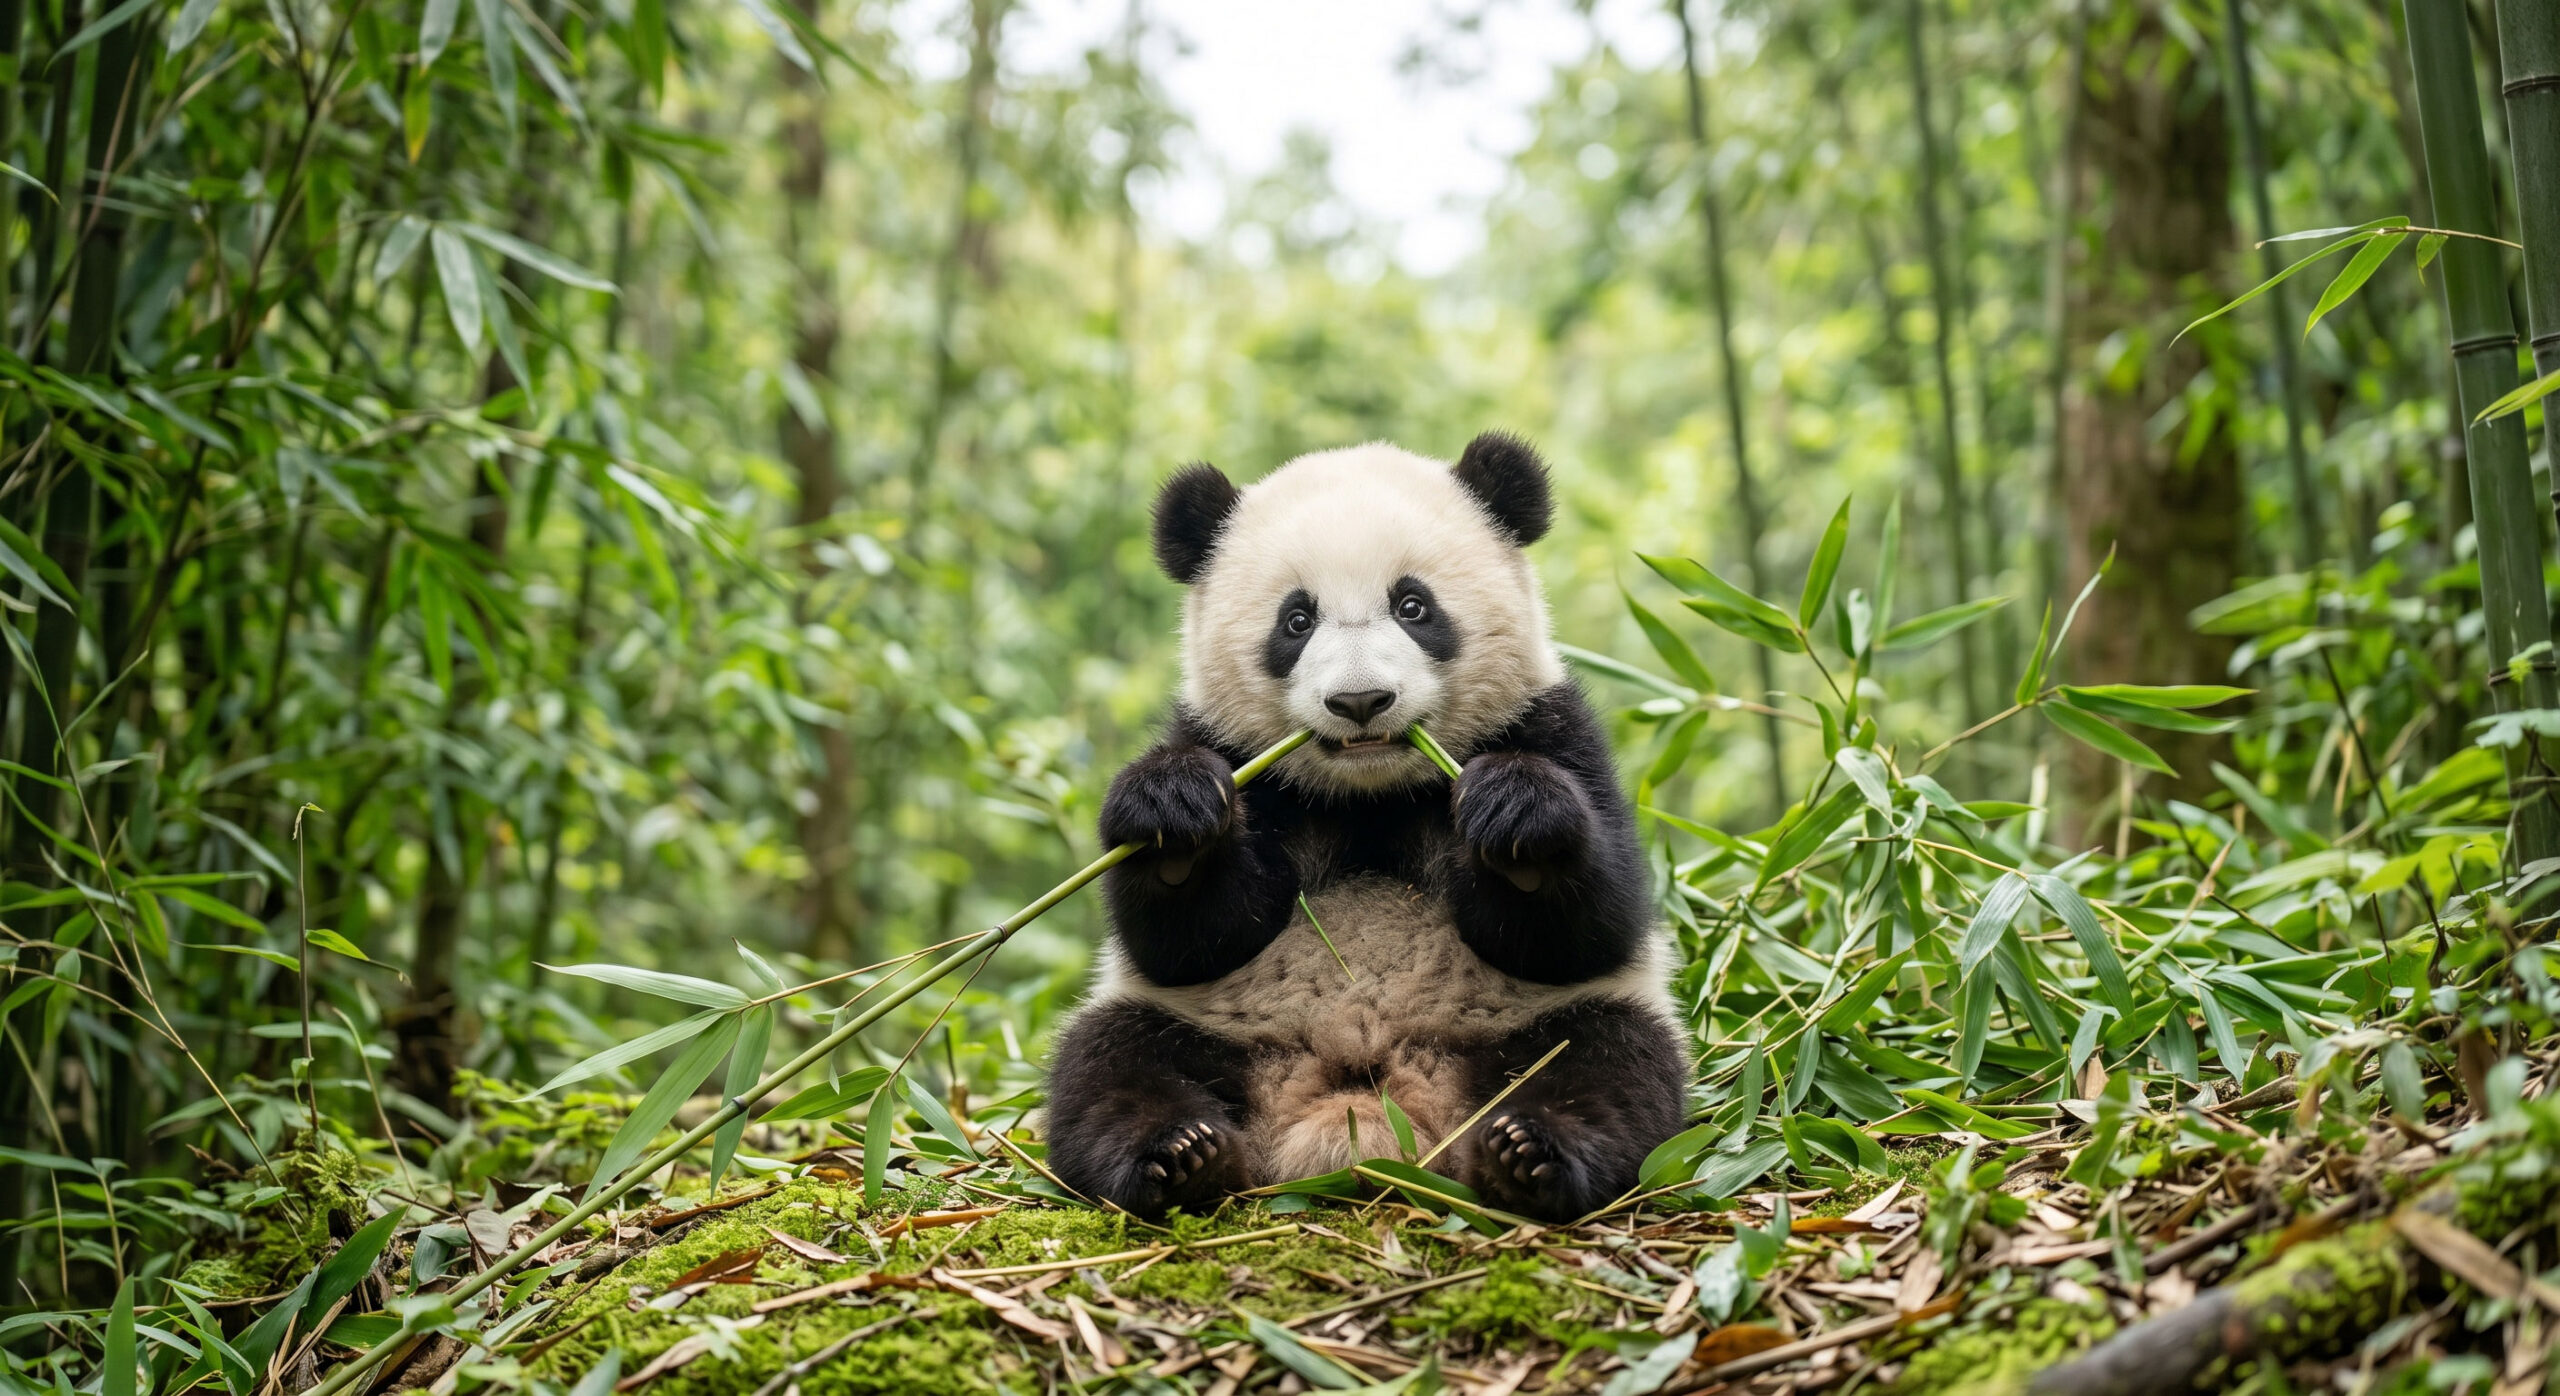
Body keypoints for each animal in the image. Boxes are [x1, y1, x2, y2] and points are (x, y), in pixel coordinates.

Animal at [1044, 434, 1688, 1223]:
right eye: (1296, 621)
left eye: (1413, 605)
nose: (1360, 701)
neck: (1370, 794)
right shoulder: (1230, 751)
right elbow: (1189, 941)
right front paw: (1173, 817)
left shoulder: (1551, 726)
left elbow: (1590, 928)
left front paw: (1517, 819)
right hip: (1200, 1025)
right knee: (1109, 1069)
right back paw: (1179, 1155)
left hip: (1537, 1023)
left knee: (1610, 1064)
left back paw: (1529, 1153)